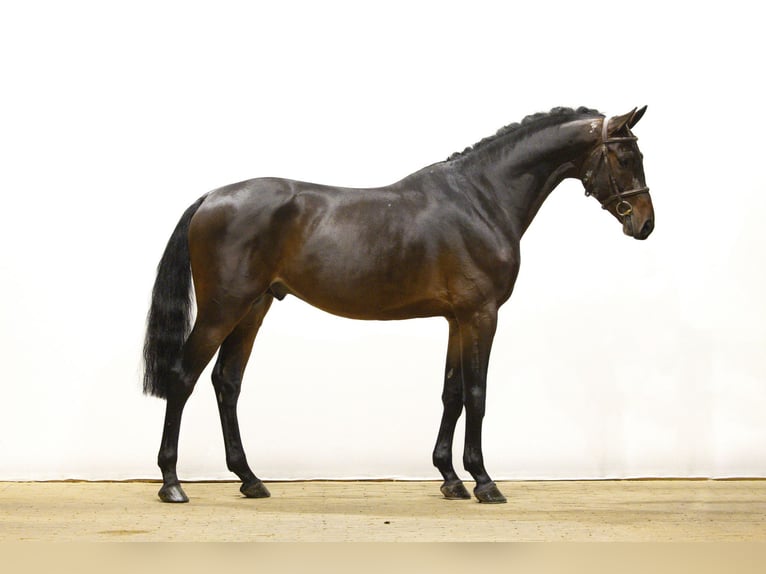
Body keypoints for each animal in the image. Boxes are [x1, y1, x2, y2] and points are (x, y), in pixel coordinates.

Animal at [143, 106, 654, 504]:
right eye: (627, 156)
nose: (645, 224)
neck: (481, 199)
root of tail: (212, 198)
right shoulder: (481, 315)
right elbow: (477, 394)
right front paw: (484, 481)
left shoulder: (457, 319)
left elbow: (451, 393)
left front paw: (450, 479)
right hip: (222, 310)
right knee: (183, 379)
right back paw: (171, 483)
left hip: (253, 308)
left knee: (227, 382)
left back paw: (250, 479)